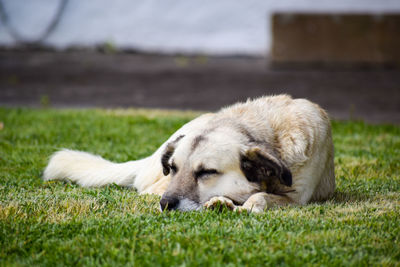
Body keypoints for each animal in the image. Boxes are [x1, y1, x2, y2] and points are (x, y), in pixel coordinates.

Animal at [43, 95, 336, 213]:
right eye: (173, 168)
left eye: (207, 172)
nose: (165, 204)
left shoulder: (296, 198)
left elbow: (260, 197)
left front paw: (242, 204)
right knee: (146, 189)